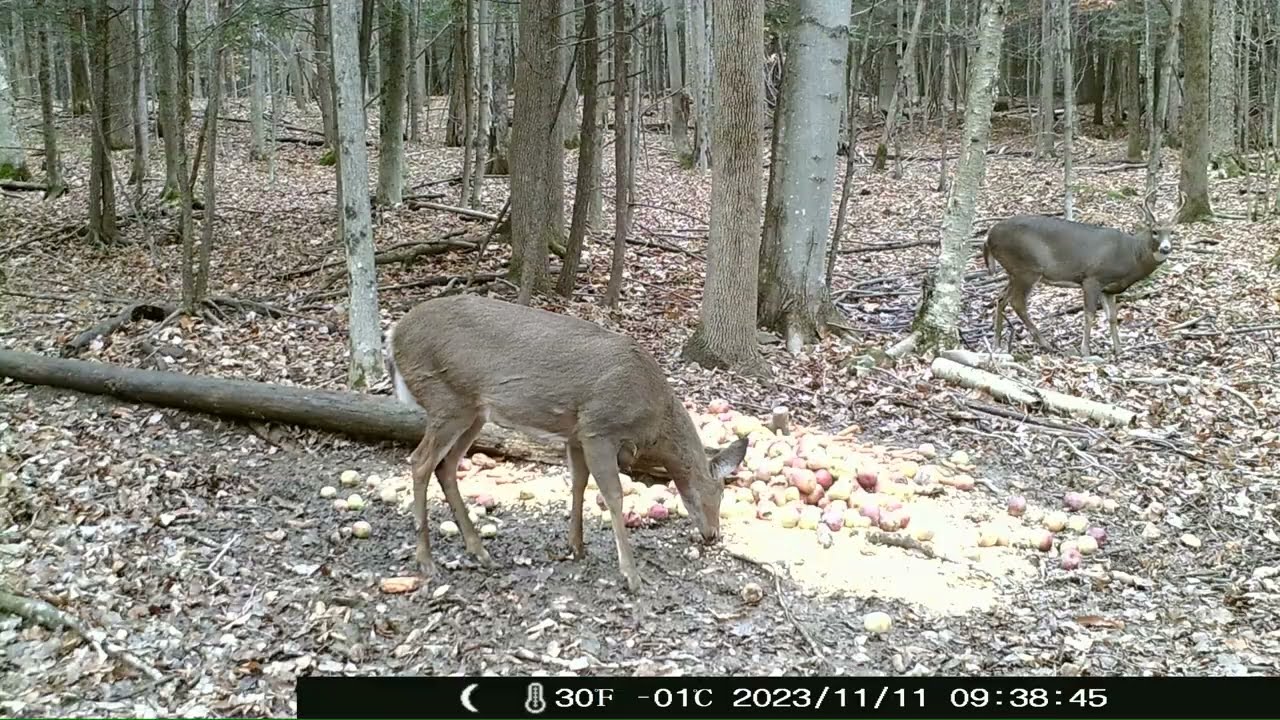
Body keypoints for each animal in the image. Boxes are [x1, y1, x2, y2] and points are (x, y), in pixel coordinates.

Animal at [384, 294, 749, 593]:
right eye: (718, 491)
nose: (713, 535)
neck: (654, 421)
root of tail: (394, 337)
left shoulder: (575, 434)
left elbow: (578, 483)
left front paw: (576, 546)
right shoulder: (598, 427)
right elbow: (613, 495)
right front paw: (631, 575)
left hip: (472, 411)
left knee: (445, 466)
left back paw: (479, 551)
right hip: (446, 399)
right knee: (420, 462)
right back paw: (425, 559)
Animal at [982, 193, 1180, 361]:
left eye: (1172, 232)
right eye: (1155, 231)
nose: (1165, 248)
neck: (1132, 254)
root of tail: (988, 237)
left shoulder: (1108, 289)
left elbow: (1112, 317)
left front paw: (1119, 350)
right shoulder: (1092, 278)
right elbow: (1089, 313)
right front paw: (1085, 351)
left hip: (1014, 272)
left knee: (1001, 298)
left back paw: (997, 344)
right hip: (1027, 268)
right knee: (1017, 302)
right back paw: (1046, 344)